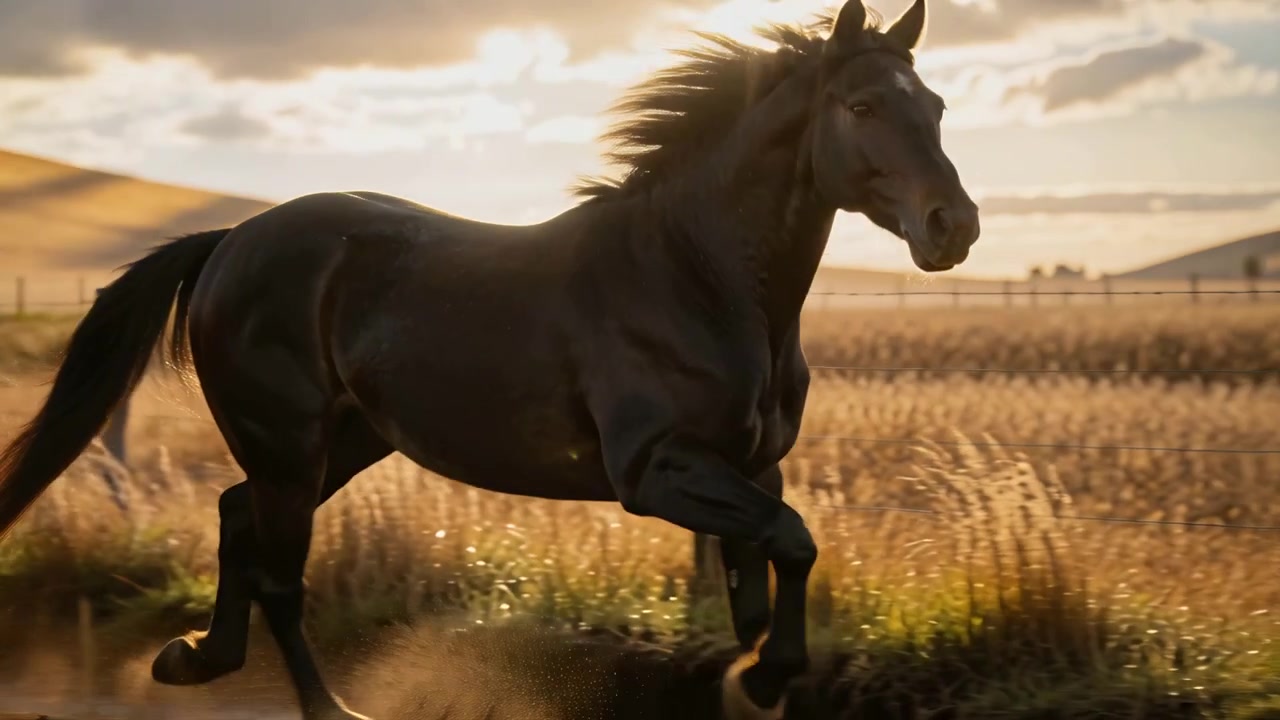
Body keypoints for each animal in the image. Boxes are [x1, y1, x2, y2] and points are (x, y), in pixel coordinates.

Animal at [0, 0, 979, 718]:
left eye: (933, 107)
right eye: (860, 107)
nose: (954, 226)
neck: (695, 276)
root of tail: (231, 241)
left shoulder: (753, 467)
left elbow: (763, 578)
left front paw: (751, 676)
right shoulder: (656, 471)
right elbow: (794, 542)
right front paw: (766, 677)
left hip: (342, 443)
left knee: (236, 518)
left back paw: (190, 659)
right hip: (288, 445)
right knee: (278, 572)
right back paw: (324, 707)